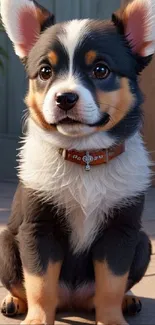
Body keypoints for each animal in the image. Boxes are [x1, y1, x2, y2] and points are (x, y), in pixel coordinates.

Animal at [0, 0, 154, 322]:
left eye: (101, 70)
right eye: (45, 71)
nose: (65, 98)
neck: (84, 156)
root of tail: (72, 300)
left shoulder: (120, 232)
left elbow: (111, 285)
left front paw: (112, 319)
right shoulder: (38, 229)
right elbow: (39, 284)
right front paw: (37, 319)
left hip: (143, 242)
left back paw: (128, 299)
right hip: (6, 245)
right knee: (21, 284)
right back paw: (14, 301)